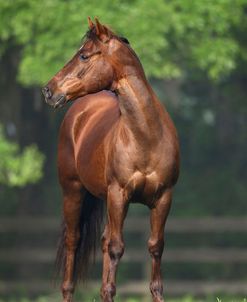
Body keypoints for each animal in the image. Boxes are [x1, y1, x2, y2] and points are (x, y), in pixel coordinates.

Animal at [42, 18, 179, 302]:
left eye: (84, 55)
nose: (48, 90)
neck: (146, 136)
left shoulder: (163, 198)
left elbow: (155, 247)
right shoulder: (119, 194)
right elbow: (116, 247)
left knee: (104, 240)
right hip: (73, 192)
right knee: (74, 242)